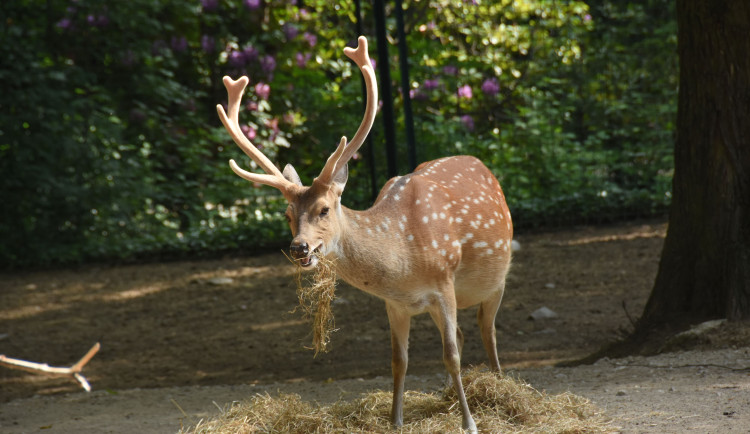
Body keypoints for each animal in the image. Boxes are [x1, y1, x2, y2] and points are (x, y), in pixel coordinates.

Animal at [214, 35, 516, 432]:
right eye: (287, 214)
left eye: (324, 209)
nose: (299, 248)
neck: (406, 259)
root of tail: (482, 164)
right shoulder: (396, 304)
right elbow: (398, 360)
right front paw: (396, 420)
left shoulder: (444, 283)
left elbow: (449, 354)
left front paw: (470, 423)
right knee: (468, 333)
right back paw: (447, 395)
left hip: (497, 277)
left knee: (487, 329)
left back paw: (498, 385)